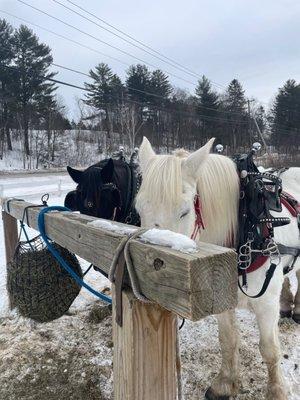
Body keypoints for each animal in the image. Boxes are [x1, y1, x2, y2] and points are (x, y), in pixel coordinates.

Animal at [137, 138, 298, 400]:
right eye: (139, 209)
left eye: (184, 211)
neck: (246, 227)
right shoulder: (222, 300)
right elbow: (228, 340)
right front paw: (225, 384)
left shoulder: (266, 305)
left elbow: (270, 349)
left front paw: (277, 391)